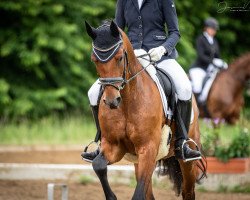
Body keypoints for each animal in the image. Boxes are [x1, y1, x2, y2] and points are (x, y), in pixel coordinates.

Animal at [85, 20, 206, 200]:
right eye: (94, 60)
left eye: (119, 58)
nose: (112, 101)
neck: (127, 102)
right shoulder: (113, 146)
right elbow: (98, 164)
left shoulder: (148, 150)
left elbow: (138, 194)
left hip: (186, 160)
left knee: (188, 191)